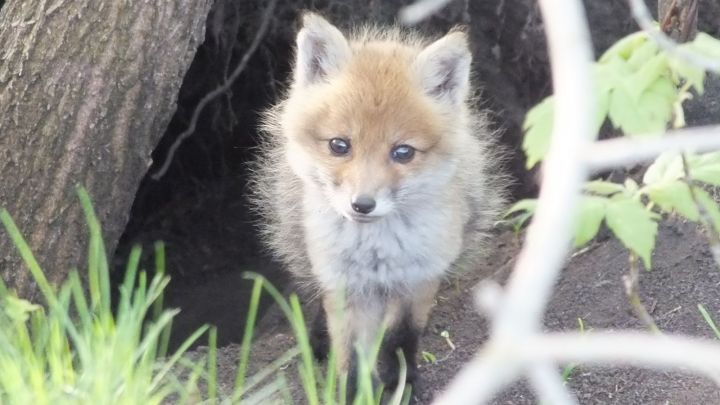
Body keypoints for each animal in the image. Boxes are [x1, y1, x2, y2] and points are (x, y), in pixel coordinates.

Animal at [250, 11, 504, 392]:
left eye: (403, 152)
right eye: (339, 145)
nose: (362, 204)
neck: (376, 251)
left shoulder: (418, 278)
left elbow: (400, 338)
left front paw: (402, 385)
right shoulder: (346, 284)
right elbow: (351, 351)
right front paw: (351, 391)